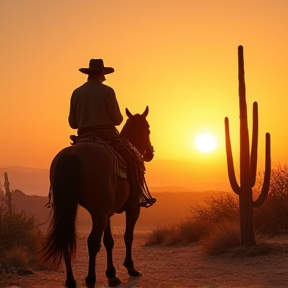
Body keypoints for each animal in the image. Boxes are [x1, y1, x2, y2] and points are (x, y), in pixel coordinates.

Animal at [41, 107, 154, 288]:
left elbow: (109, 241)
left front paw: (111, 273)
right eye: (148, 129)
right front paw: (130, 267)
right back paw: (90, 279)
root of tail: (71, 155)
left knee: (66, 237)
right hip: (97, 212)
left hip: (70, 209)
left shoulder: (107, 212)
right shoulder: (132, 208)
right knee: (92, 242)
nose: (150, 152)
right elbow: (128, 236)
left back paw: (71, 280)